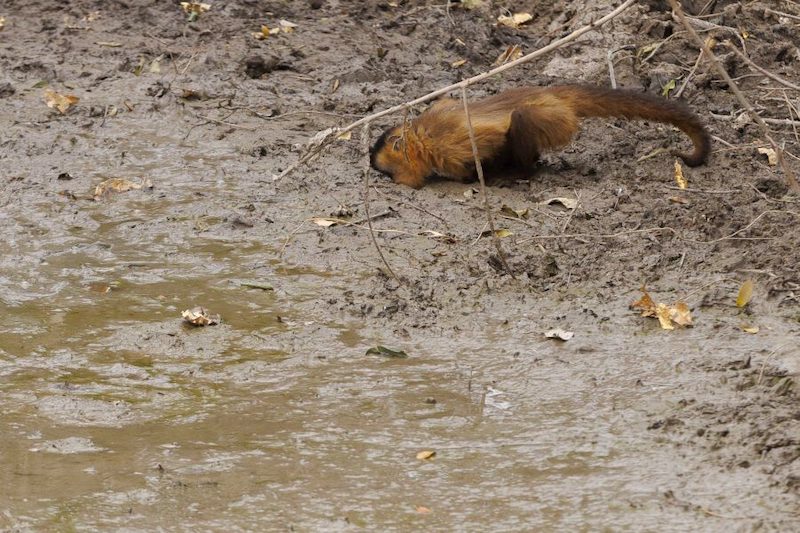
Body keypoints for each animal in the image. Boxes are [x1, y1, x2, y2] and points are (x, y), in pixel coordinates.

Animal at [369, 85, 710, 189]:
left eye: (389, 172)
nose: (391, 180)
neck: (420, 136)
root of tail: (550, 91)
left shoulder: (449, 144)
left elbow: (481, 151)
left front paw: (483, 175)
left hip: (554, 118)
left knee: (522, 118)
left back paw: (521, 172)